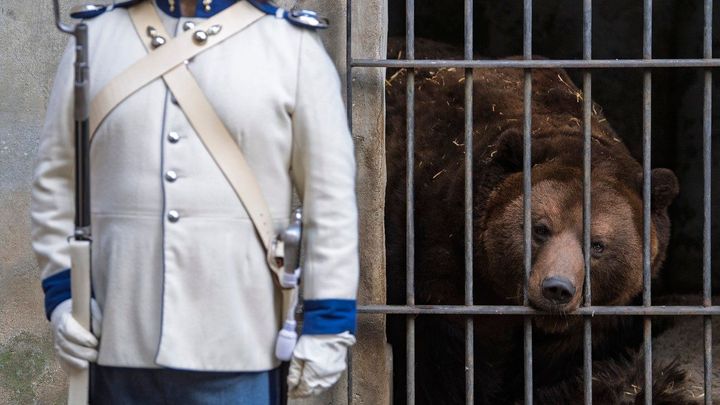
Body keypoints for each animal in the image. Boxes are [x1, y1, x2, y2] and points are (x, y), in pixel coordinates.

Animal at [382, 38, 688, 404]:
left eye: (597, 244)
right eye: (540, 228)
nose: (557, 288)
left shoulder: (591, 324)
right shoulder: (433, 249)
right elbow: (441, 362)